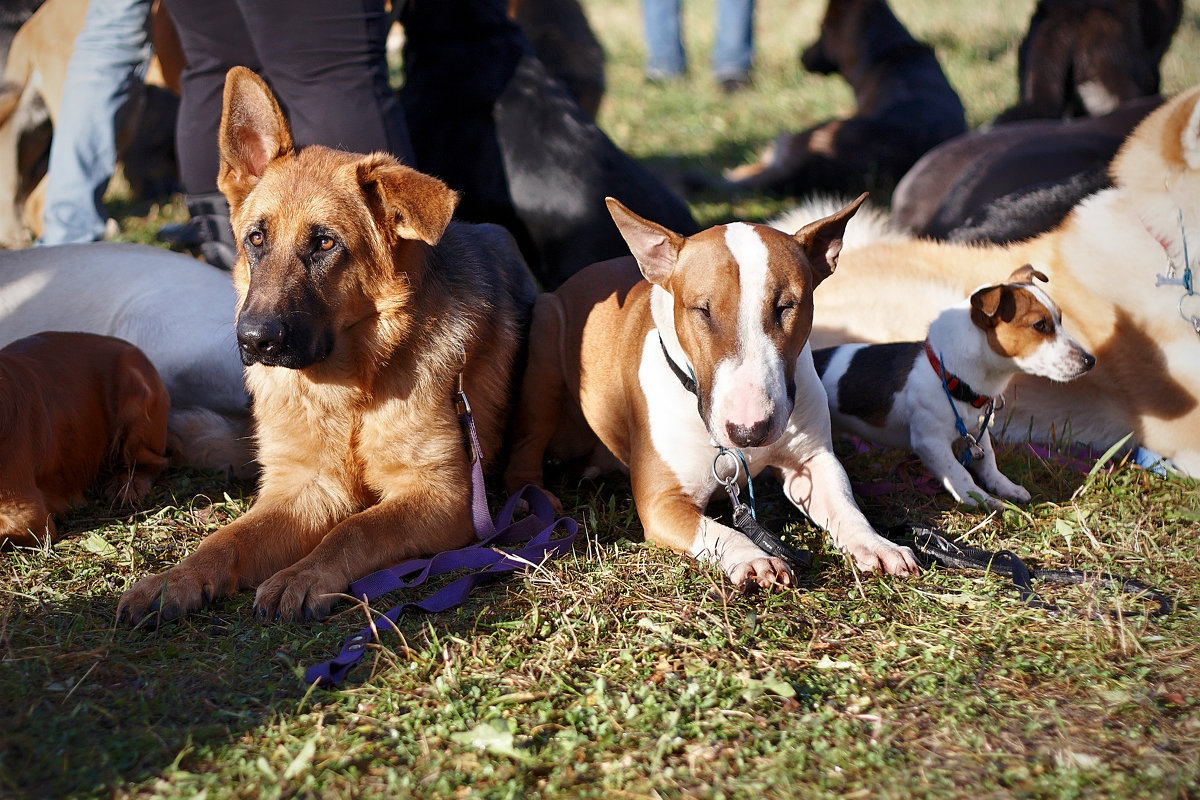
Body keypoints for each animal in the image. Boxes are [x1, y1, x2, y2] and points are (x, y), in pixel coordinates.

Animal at [118, 68, 540, 628]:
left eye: (324, 244)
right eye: (256, 239)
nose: (254, 339)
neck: (350, 391)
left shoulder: (441, 496)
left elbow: (355, 529)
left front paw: (303, 576)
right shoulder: (303, 488)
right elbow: (229, 538)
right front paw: (176, 579)